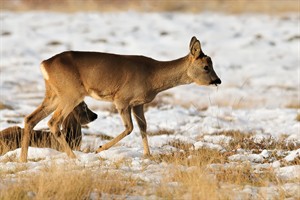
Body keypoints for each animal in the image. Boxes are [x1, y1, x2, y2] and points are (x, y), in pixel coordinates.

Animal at [20, 36, 220, 162]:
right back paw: (74, 157)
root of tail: (44, 64)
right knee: (53, 122)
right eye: (206, 67)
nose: (218, 80)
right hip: (70, 94)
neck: (153, 77)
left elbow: (143, 127)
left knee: (30, 118)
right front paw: (99, 149)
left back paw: (23, 160)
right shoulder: (122, 99)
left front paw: (148, 155)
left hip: (53, 94)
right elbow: (129, 127)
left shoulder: (138, 104)